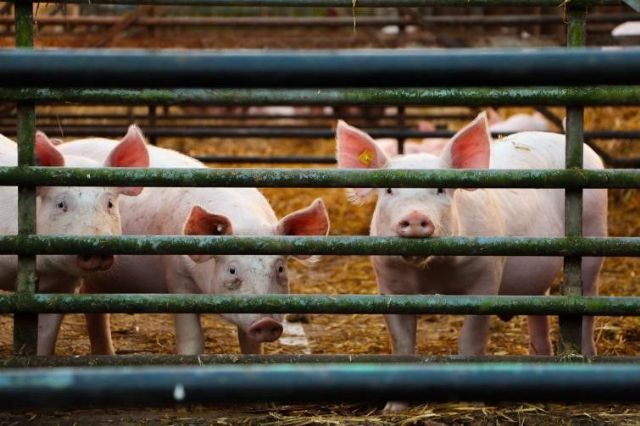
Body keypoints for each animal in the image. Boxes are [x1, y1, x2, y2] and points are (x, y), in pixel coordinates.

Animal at [0, 127, 149, 356]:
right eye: (61, 204)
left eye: (109, 204)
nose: (96, 247)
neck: (44, 269)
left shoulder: (61, 288)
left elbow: (46, 337)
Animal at [57, 136, 330, 356]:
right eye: (232, 270)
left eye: (280, 268)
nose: (266, 323)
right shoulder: (177, 277)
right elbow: (193, 339)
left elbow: (251, 345)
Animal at [338, 111, 608, 412]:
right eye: (388, 190)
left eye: (441, 189)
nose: (416, 216)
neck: (432, 273)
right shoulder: (389, 283)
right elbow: (402, 345)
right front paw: (393, 409)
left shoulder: (486, 277)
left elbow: (471, 339)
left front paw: (474, 402)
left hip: (593, 234)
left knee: (588, 304)